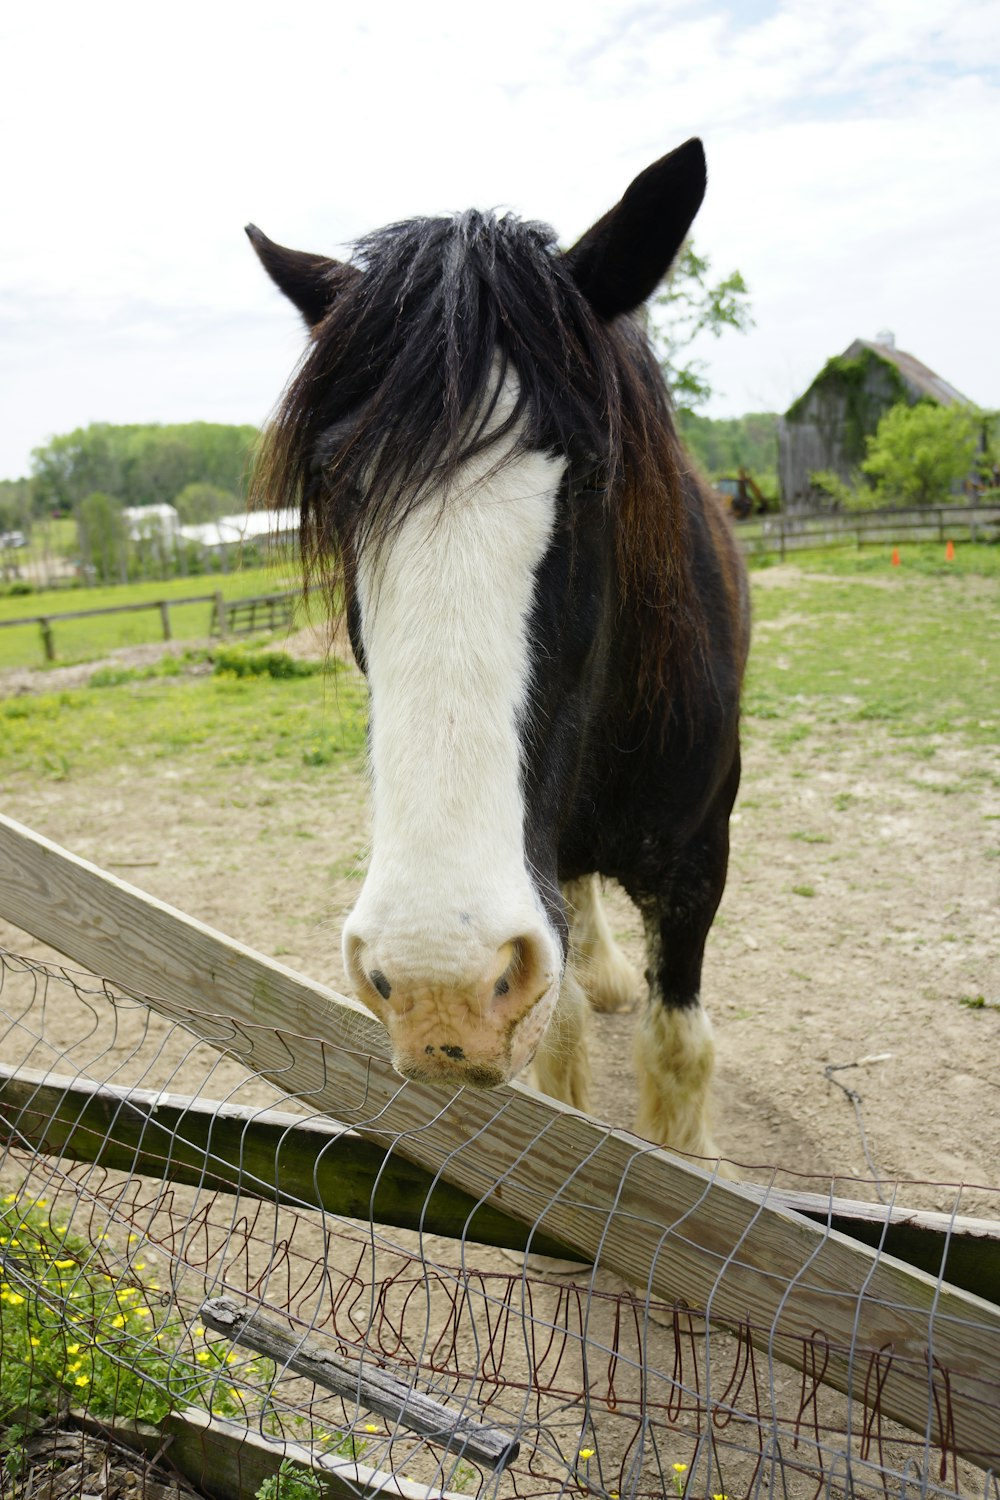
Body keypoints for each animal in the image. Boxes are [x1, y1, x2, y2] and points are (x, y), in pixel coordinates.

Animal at [248, 138, 749, 1158]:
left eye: (594, 474)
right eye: (337, 485)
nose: (439, 984)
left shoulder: (700, 862)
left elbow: (678, 1052)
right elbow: (561, 1056)